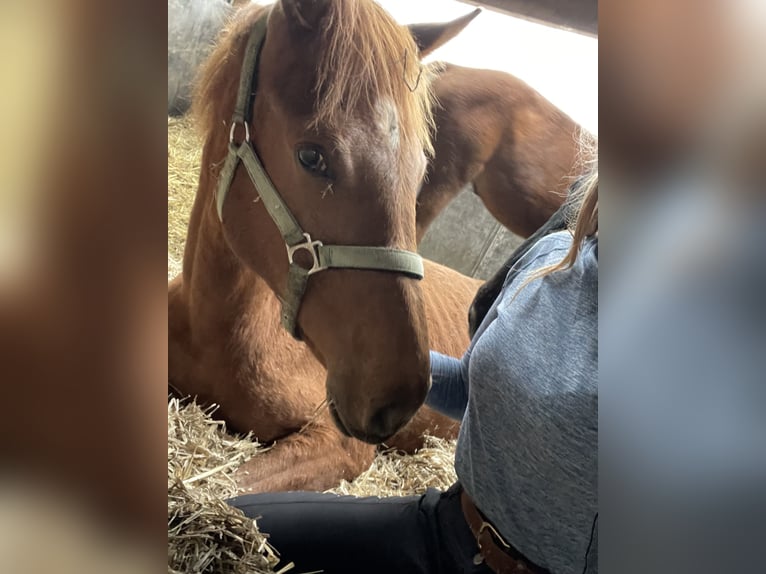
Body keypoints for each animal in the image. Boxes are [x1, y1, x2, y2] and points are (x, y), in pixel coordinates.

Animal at [168, 1, 483, 493]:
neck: (216, 333)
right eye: (311, 156)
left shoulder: (339, 444)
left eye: (419, 171)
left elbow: (230, 486)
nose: (400, 395)